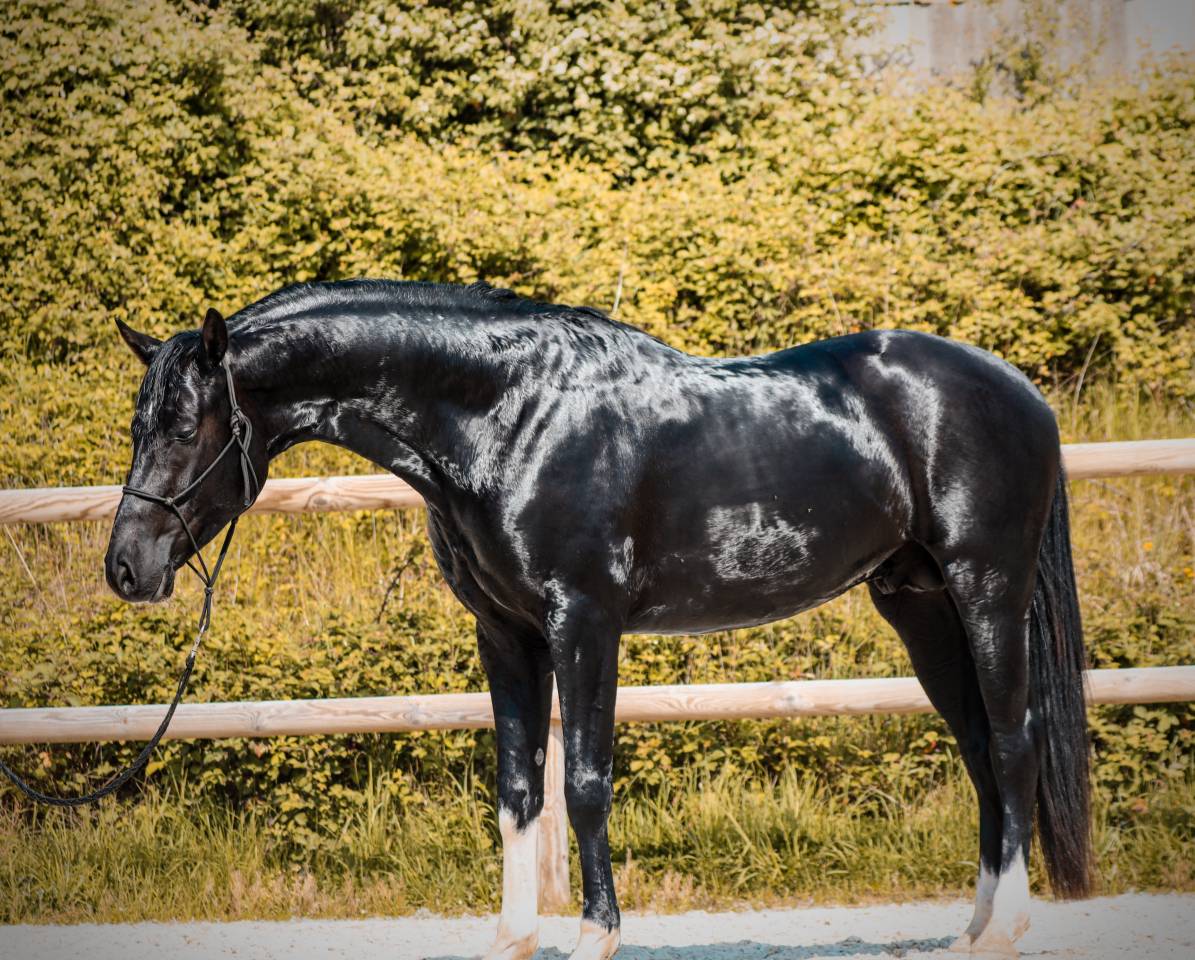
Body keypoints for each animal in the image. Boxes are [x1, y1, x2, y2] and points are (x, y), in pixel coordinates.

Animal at [106, 279, 1091, 960]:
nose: (127, 568)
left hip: (985, 589)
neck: (510, 417)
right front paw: (511, 941)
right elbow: (517, 790)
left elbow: (582, 784)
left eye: (185, 427)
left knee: (1013, 745)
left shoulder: (584, 622)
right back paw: (971, 930)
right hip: (919, 605)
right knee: (979, 751)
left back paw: (1006, 931)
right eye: (139, 425)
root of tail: (1021, 391)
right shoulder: (505, 634)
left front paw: (595, 937)